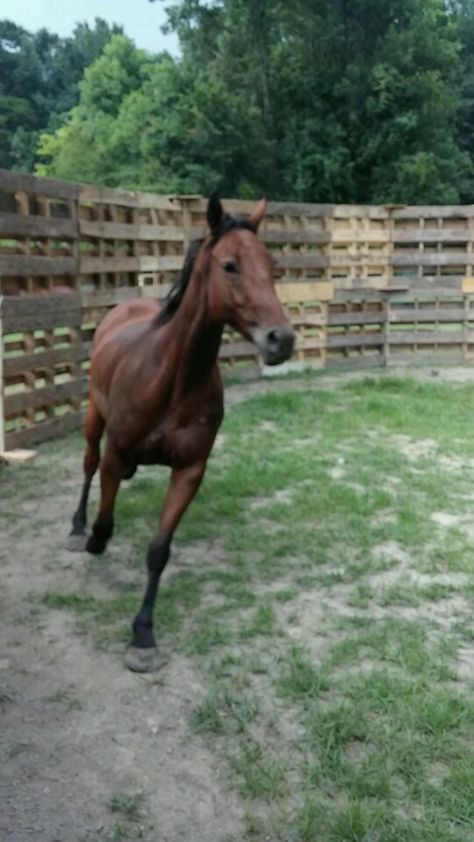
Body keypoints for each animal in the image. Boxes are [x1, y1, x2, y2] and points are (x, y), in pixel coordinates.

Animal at [67, 192, 296, 668]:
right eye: (230, 266)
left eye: (272, 265)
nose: (281, 340)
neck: (172, 380)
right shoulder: (117, 453)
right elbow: (106, 519)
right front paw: (94, 539)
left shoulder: (190, 470)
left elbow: (159, 551)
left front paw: (143, 635)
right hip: (93, 420)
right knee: (88, 465)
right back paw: (77, 529)